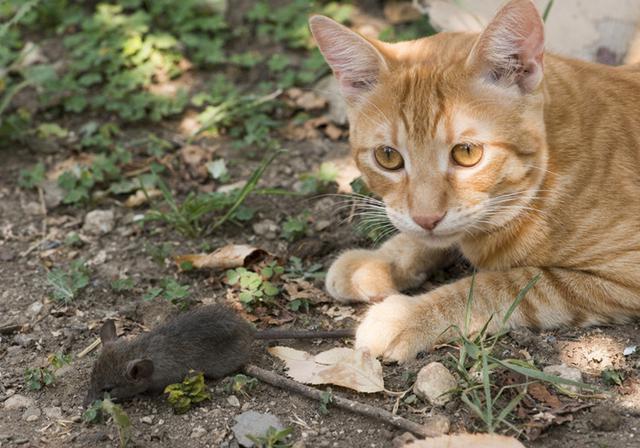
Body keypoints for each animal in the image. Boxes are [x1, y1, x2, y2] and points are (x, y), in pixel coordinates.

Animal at [308, 0, 640, 362]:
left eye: (467, 153)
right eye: (388, 157)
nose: (426, 218)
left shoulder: (621, 275)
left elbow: (498, 287)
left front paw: (407, 315)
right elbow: (426, 239)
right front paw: (379, 260)